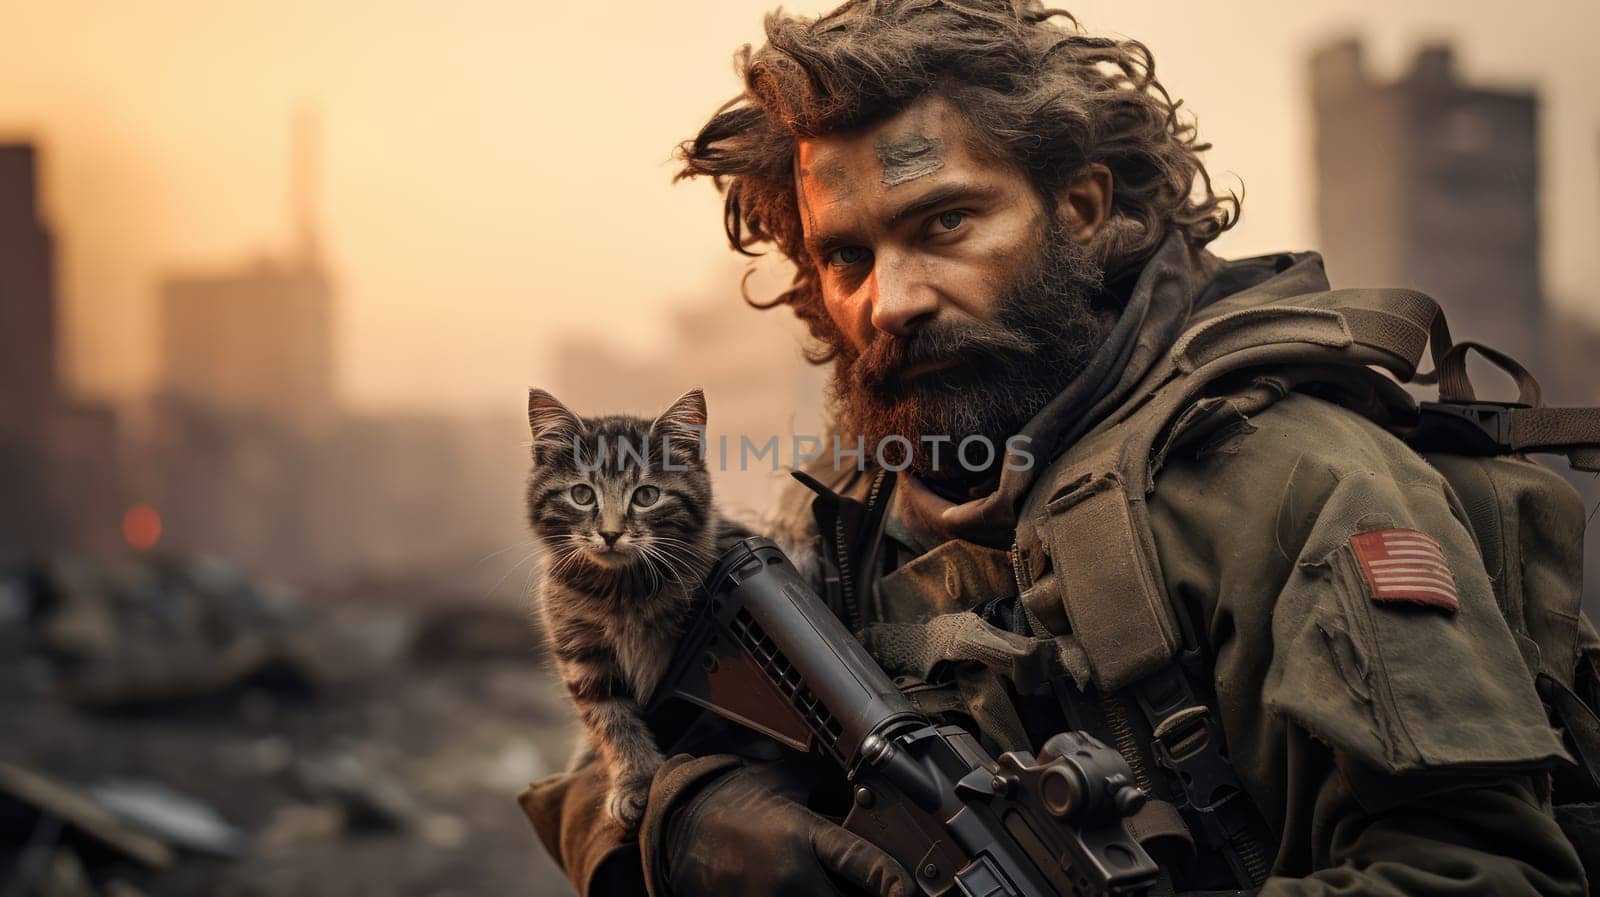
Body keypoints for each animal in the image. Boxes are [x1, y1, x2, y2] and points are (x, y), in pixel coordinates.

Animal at [524, 388, 726, 831]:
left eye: (647, 496)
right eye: (582, 495)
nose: (611, 533)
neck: (621, 594)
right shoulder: (582, 652)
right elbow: (613, 718)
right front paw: (635, 780)